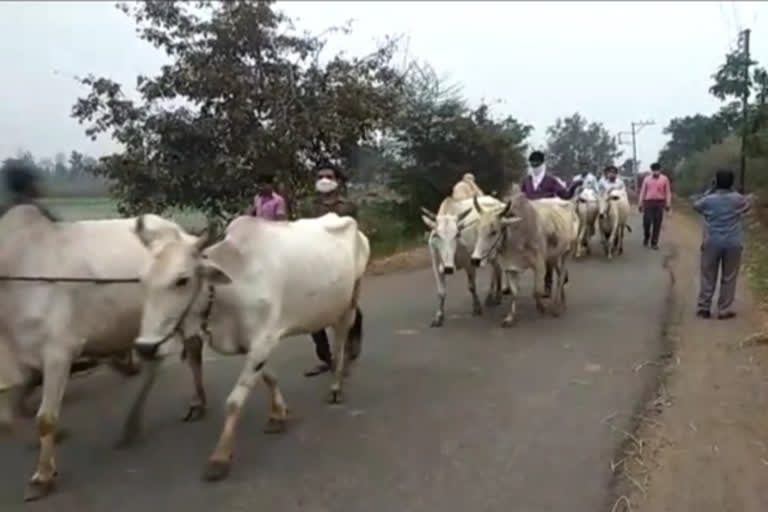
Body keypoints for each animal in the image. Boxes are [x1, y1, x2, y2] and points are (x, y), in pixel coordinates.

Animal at [0, 204, 198, 500]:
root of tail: (180, 231)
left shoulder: (59, 351)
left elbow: (45, 419)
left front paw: (43, 476)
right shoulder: (15, 361)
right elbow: (7, 420)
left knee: (177, 355)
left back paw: (139, 423)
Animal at [131, 211, 368, 480]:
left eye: (182, 280)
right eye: (142, 280)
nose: (145, 347)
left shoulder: (263, 341)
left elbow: (235, 401)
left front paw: (220, 456)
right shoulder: (258, 344)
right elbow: (269, 377)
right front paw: (278, 414)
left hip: (350, 301)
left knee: (341, 340)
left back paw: (337, 385)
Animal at [420, 194, 504, 326]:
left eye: (457, 234)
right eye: (436, 235)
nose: (448, 269)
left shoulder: (469, 263)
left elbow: (472, 286)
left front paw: (477, 307)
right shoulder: (436, 264)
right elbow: (441, 292)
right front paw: (439, 316)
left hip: (493, 251)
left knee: (497, 269)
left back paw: (495, 296)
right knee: (496, 269)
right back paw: (492, 297)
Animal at [472, 194, 580, 326]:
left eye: (494, 231)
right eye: (477, 230)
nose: (475, 260)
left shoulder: (539, 265)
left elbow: (536, 292)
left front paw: (541, 308)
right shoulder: (510, 267)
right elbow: (514, 293)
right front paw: (510, 318)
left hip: (567, 252)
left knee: (561, 278)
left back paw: (555, 307)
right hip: (553, 256)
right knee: (561, 275)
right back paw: (562, 301)